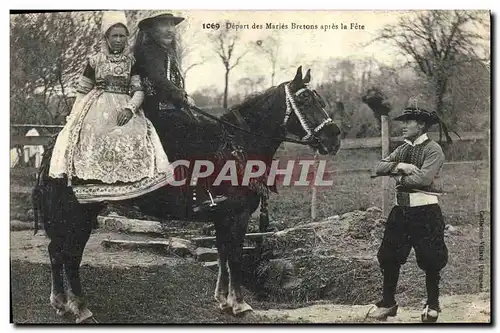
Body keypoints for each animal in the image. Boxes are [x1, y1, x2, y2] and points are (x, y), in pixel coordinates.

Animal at [33, 65, 342, 322]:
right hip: (77, 215)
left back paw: (61, 303)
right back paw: (80, 308)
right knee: (70, 255)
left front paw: (223, 300)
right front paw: (240, 304)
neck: (238, 146)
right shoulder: (237, 216)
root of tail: (54, 149)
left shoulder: (222, 217)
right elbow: (234, 255)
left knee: (56, 252)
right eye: (305, 99)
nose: (334, 137)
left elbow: (222, 253)